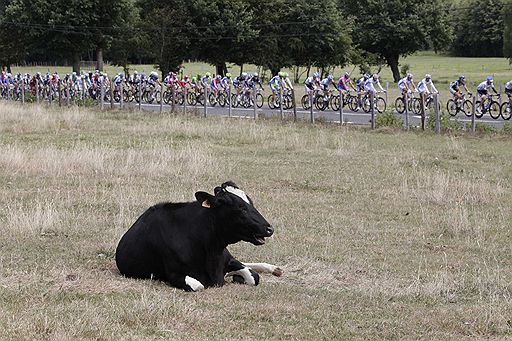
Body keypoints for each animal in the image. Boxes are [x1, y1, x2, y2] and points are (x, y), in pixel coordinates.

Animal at [115, 181, 282, 290]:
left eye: (250, 202)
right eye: (240, 208)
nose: (269, 229)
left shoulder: (229, 259)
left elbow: (253, 276)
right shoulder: (174, 274)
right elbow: (198, 286)